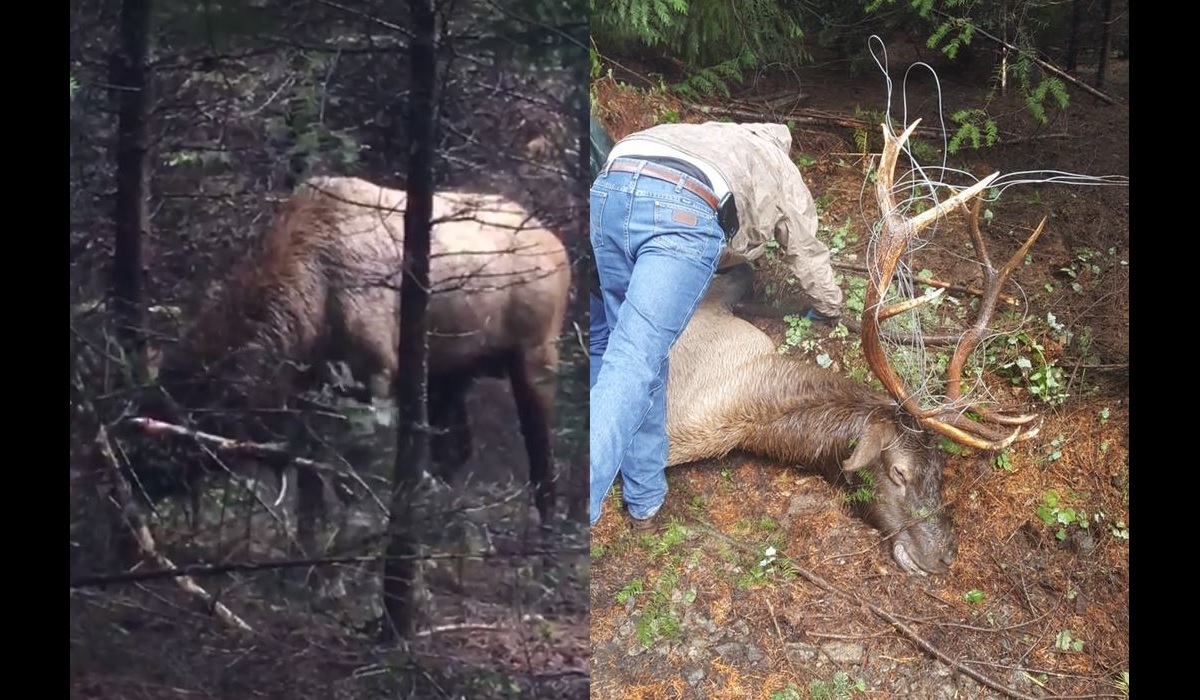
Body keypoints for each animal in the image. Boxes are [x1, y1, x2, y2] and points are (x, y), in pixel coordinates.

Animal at [140, 176, 571, 564]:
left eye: (182, 409)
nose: (137, 477)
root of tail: (557, 246)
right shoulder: (311, 393)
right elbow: (311, 487)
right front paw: (306, 555)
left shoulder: (373, 377)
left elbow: (348, 483)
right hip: (447, 374)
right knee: (454, 452)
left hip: (535, 357)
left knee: (542, 461)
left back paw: (546, 554)